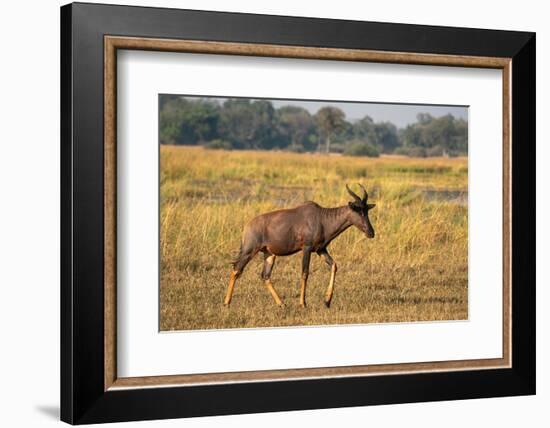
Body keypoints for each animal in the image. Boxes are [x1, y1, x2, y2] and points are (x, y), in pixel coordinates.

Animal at [224, 184, 376, 308]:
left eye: (366, 210)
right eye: (358, 210)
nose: (371, 232)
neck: (321, 217)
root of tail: (247, 226)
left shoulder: (320, 249)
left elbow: (334, 266)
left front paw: (327, 301)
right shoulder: (306, 248)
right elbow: (305, 273)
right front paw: (303, 303)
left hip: (269, 254)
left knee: (265, 276)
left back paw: (282, 304)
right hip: (249, 251)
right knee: (236, 270)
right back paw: (226, 302)